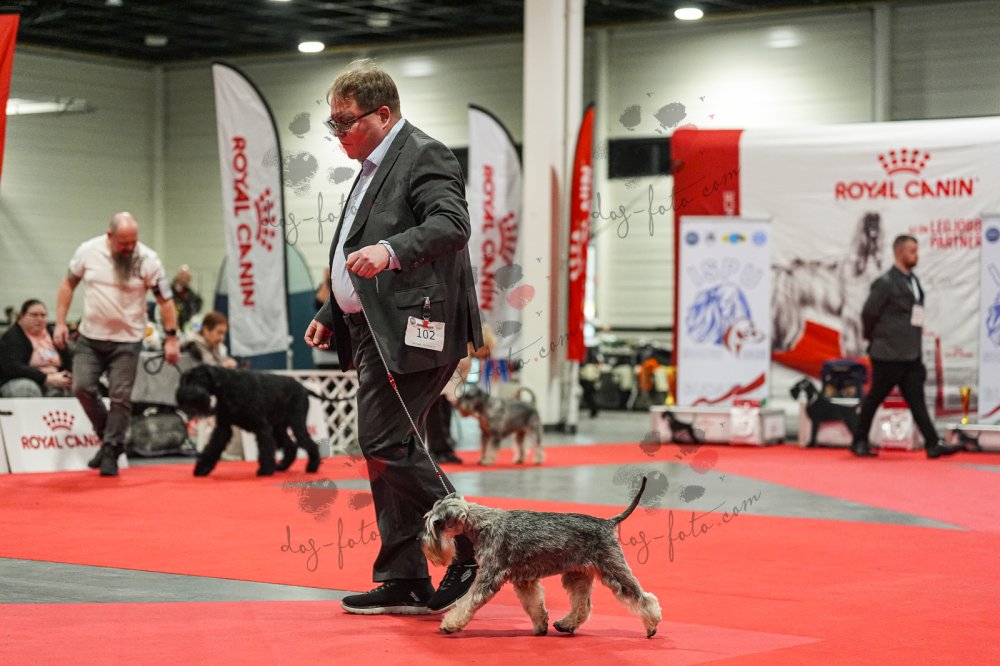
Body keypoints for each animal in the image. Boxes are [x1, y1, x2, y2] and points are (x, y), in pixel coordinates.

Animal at [175, 365, 322, 476]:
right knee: (291, 446)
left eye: (198, 379)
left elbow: (265, 449)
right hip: (279, 428)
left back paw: (312, 467)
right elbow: (213, 447)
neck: (227, 386)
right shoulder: (223, 427)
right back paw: (281, 467)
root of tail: (304, 389)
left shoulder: (262, 427)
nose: (183, 395)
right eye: (185, 379)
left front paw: (265, 470)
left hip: (297, 424)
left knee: (309, 444)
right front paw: (202, 469)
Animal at [419, 476, 661, 637]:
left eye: (436, 523)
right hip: (577, 575)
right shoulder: (524, 580)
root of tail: (608, 522)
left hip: (613, 569)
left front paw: (450, 624)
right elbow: (534, 604)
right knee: (582, 605)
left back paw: (652, 625)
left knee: (643, 597)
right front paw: (540, 625)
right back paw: (566, 624)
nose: (422, 541)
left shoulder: (488, 577)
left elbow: (468, 601)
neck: (482, 524)